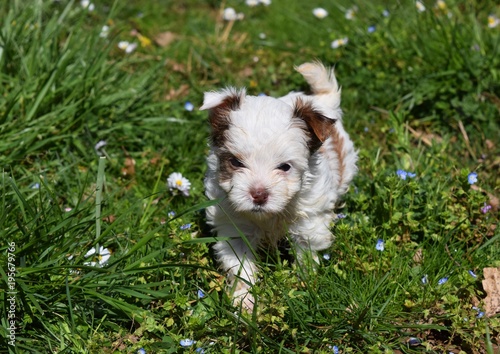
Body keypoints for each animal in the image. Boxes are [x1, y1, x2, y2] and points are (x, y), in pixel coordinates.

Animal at [198, 61, 356, 310]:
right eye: (236, 162)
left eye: (285, 167)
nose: (258, 194)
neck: (269, 217)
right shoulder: (234, 226)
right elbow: (241, 264)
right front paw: (244, 301)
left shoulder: (308, 223)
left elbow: (305, 254)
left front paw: (304, 287)